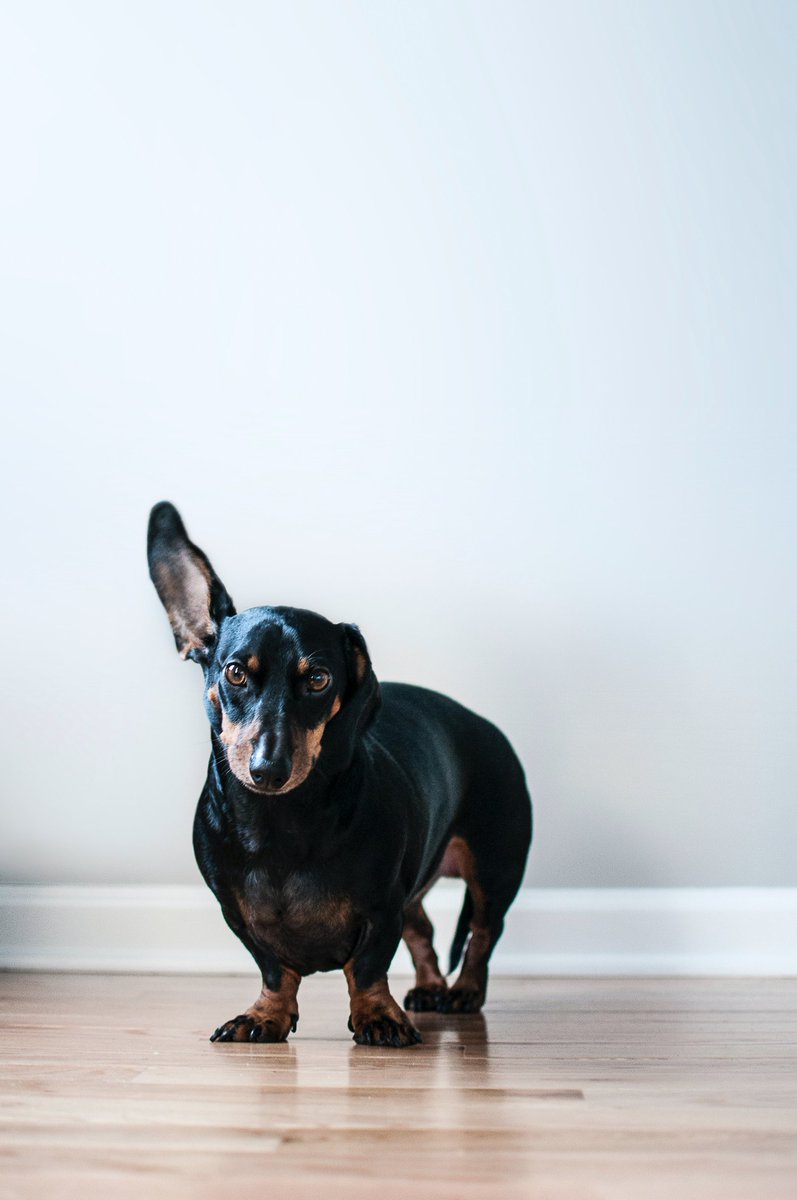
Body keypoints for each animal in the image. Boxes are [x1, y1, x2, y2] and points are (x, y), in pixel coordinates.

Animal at [146, 501, 532, 1046]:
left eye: (318, 679)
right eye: (235, 672)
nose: (268, 769)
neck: (279, 822)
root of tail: (483, 724)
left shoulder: (381, 906)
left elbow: (367, 966)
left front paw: (378, 1016)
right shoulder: (238, 915)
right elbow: (275, 969)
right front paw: (266, 1015)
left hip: (494, 869)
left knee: (481, 933)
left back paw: (463, 992)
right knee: (424, 931)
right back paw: (430, 987)